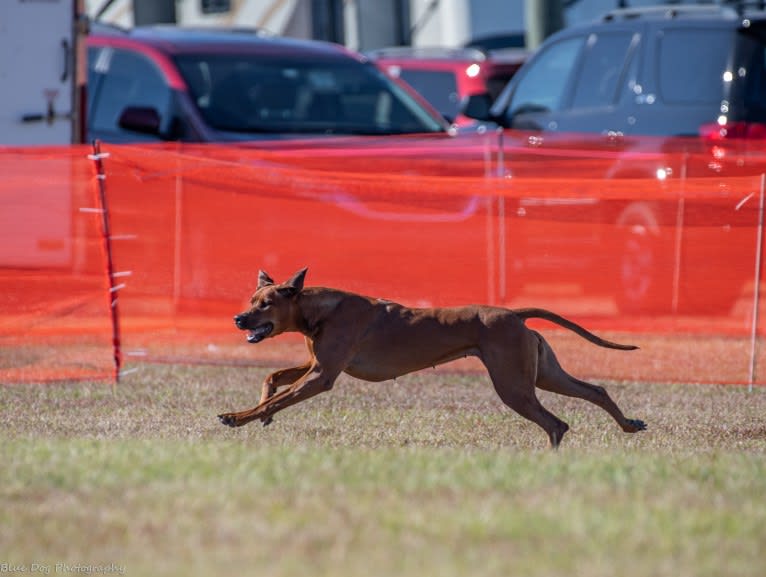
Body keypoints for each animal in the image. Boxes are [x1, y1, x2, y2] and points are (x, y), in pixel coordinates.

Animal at [218, 268, 648, 448]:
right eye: (251, 299)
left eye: (266, 304)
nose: (238, 318)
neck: (319, 310)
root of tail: (513, 313)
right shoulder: (314, 365)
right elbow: (272, 380)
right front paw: (262, 413)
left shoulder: (322, 375)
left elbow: (280, 395)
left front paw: (238, 417)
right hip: (543, 374)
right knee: (594, 390)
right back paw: (629, 424)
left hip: (513, 384)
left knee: (556, 423)